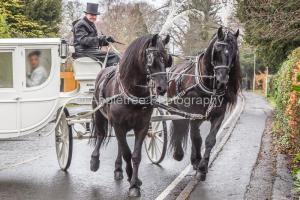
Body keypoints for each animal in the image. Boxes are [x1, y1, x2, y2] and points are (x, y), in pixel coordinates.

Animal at [90, 33, 171, 196]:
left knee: (120, 145)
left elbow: (135, 155)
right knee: (101, 135)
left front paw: (134, 182)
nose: (162, 88)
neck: (131, 91)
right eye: (152, 59)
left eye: (166, 60)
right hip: (100, 114)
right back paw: (95, 160)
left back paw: (118, 169)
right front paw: (132, 180)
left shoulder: (142, 126)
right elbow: (127, 153)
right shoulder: (118, 125)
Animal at [169, 26, 241, 180]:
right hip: (174, 110)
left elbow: (209, 140)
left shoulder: (218, 115)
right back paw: (179, 154)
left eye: (234, 50)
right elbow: (197, 138)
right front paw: (198, 163)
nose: (222, 78)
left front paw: (202, 167)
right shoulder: (193, 115)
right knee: (179, 127)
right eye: (217, 49)